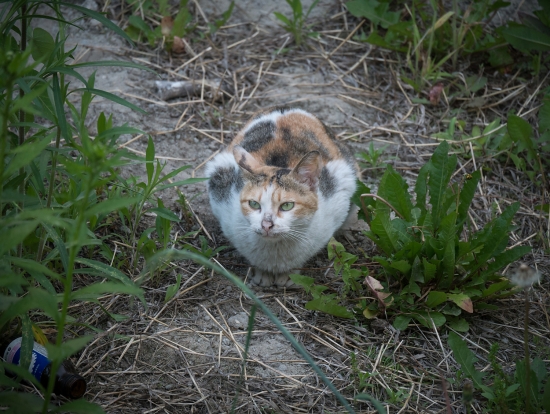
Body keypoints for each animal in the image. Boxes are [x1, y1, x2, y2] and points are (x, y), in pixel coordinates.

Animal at [205, 107, 359, 287]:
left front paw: (289, 276)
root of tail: (287, 108)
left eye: (287, 205)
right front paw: (261, 275)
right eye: (253, 204)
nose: (266, 225)